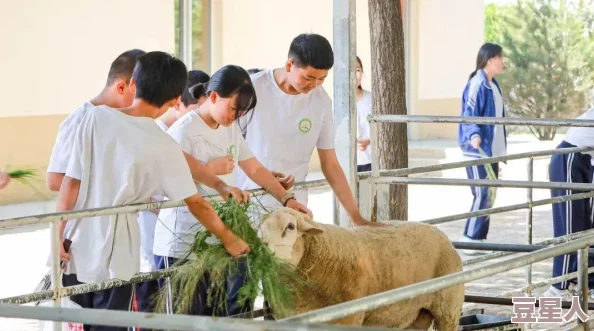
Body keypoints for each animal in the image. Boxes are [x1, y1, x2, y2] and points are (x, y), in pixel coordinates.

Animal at [260, 206, 462, 330]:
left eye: (290, 226)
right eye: (259, 229)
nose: (263, 249)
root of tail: (442, 235)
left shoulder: (348, 318)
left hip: (448, 309)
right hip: (417, 314)